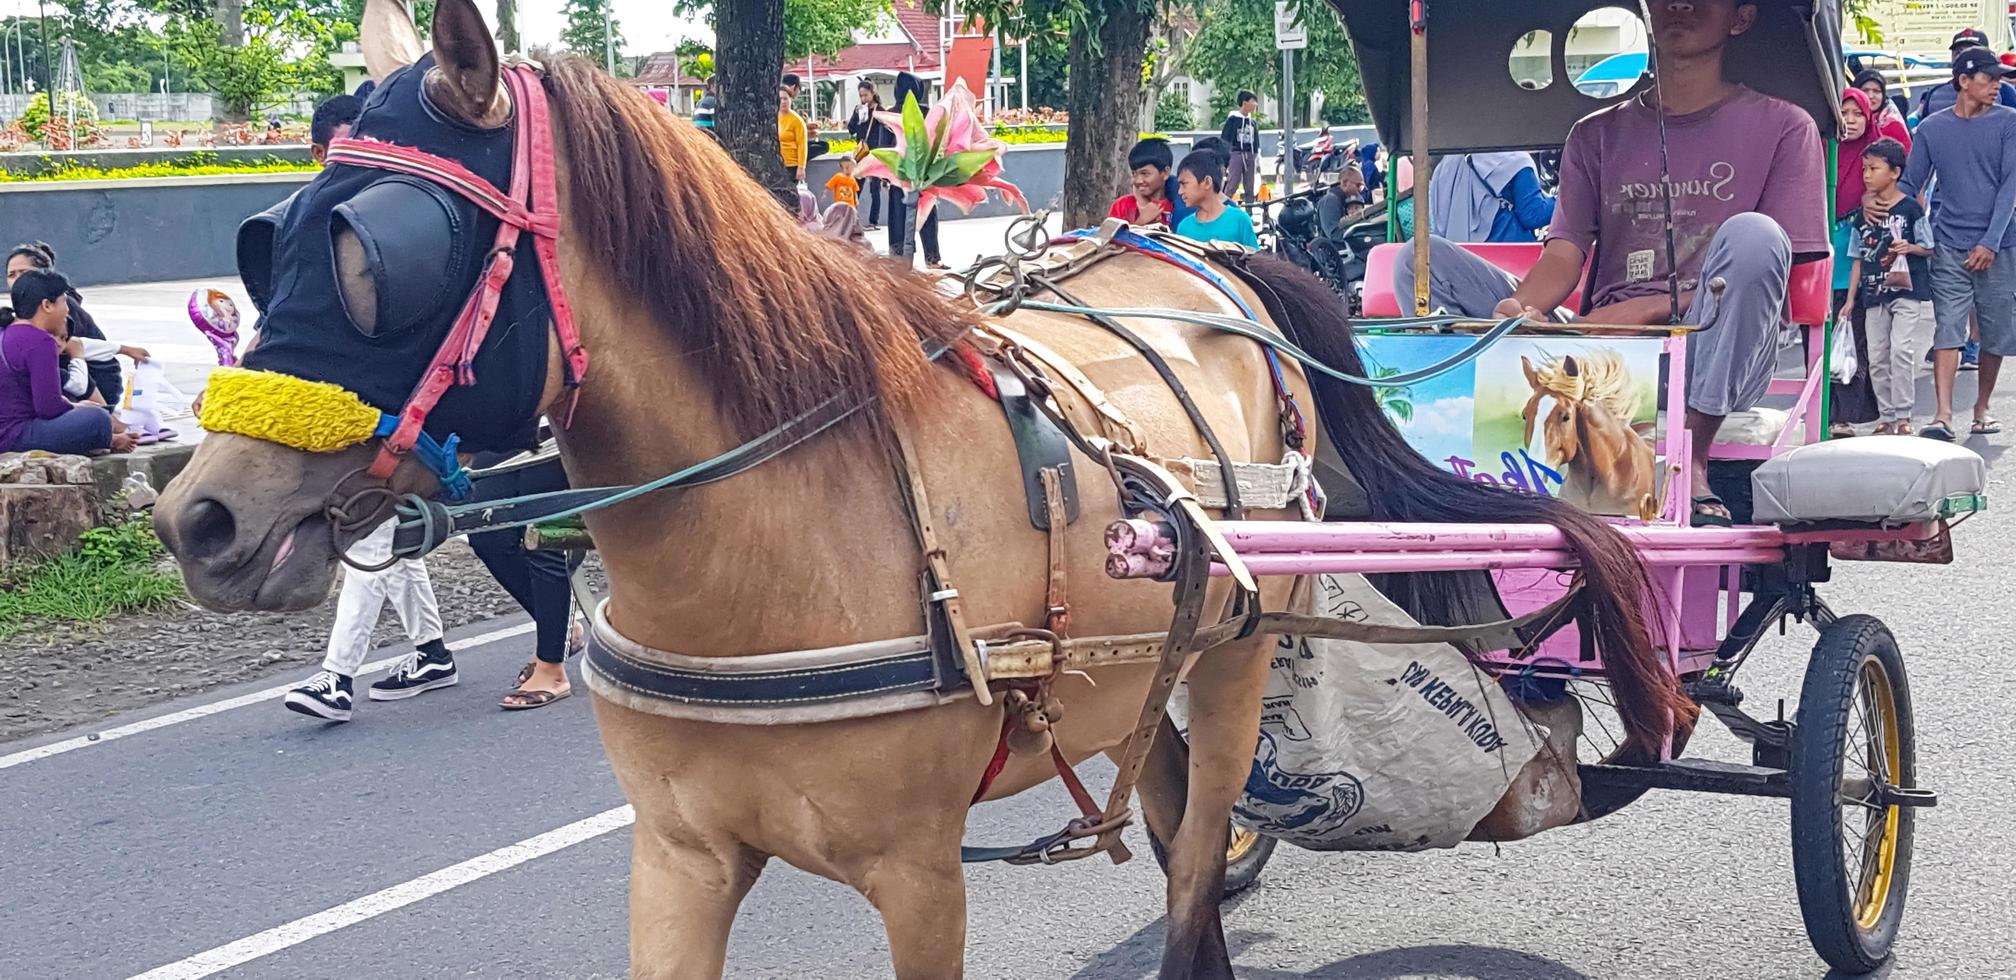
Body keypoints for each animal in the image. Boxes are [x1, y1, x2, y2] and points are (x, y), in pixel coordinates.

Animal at [146, 3, 1685, 975]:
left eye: (373, 254)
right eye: (267, 234)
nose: (196, 516)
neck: (772, 540)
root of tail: (1210, 260)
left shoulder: (918, 874)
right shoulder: (679, 855)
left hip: (1241, 652)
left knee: (1196, 871)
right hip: (1154, 661)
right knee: (1176, 818)